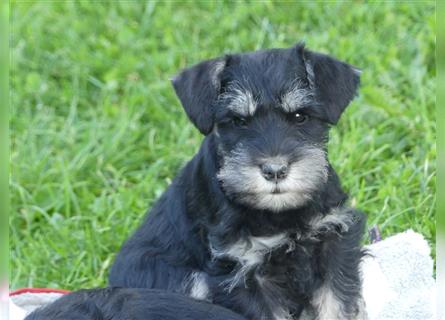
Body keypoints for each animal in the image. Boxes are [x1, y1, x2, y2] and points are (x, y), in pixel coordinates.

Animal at [109, 43, 366, 320]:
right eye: (239, 121)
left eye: (300, 116)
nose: (275, 170)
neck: (277, 214)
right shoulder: (241, 271)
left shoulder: (334, 239)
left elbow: (336, 303)